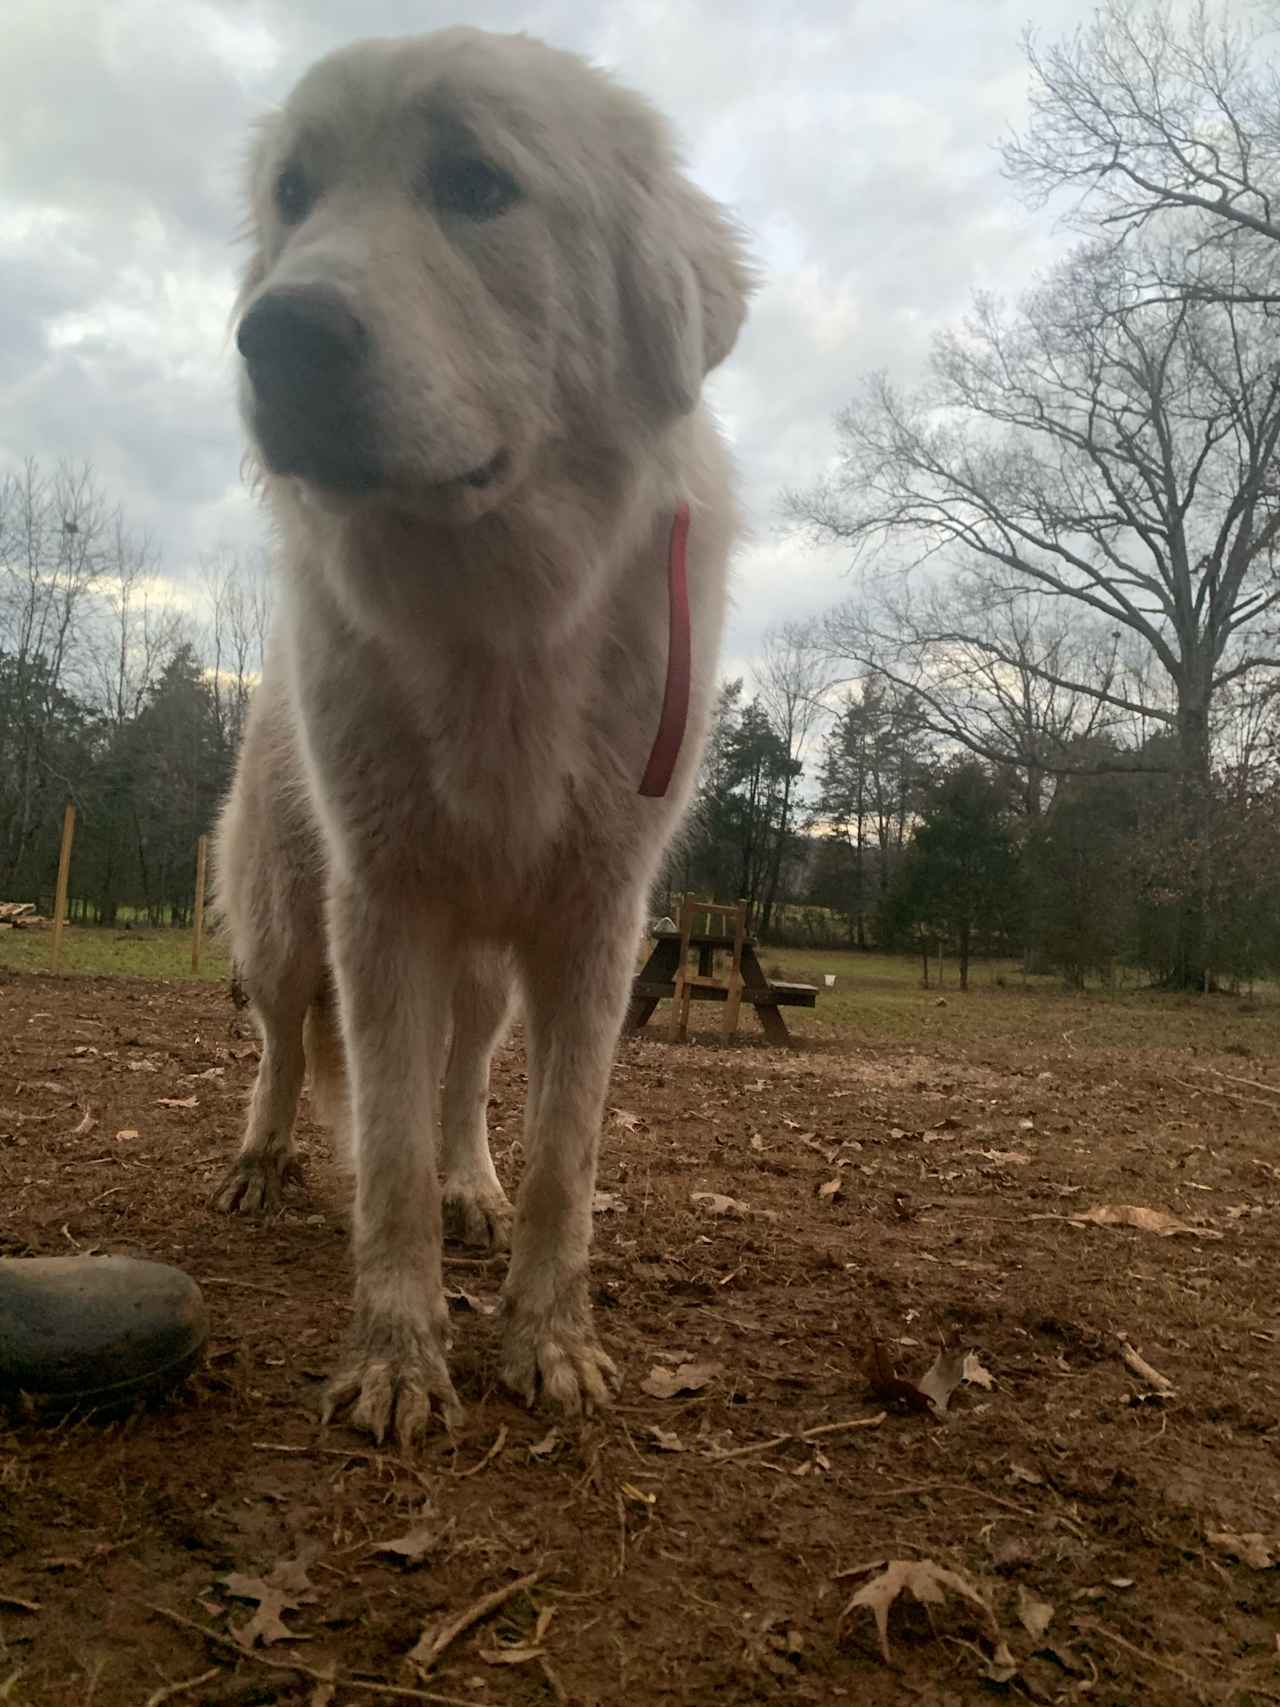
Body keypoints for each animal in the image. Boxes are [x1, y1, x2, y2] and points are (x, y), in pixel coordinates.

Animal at [210, 26, 750, 1440]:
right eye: (294, 197)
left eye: (475, 186)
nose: (273, 334)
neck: (495, 615)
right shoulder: (382, 910)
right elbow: (384, 1155)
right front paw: (398, 1359)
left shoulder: (593, 928)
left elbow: (560, 1160)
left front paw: (548, 1342)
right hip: (289, 929)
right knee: (282, 1050)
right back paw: (259, 1163)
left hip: (490, 977)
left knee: (460, 1086)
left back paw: (474, 1192)